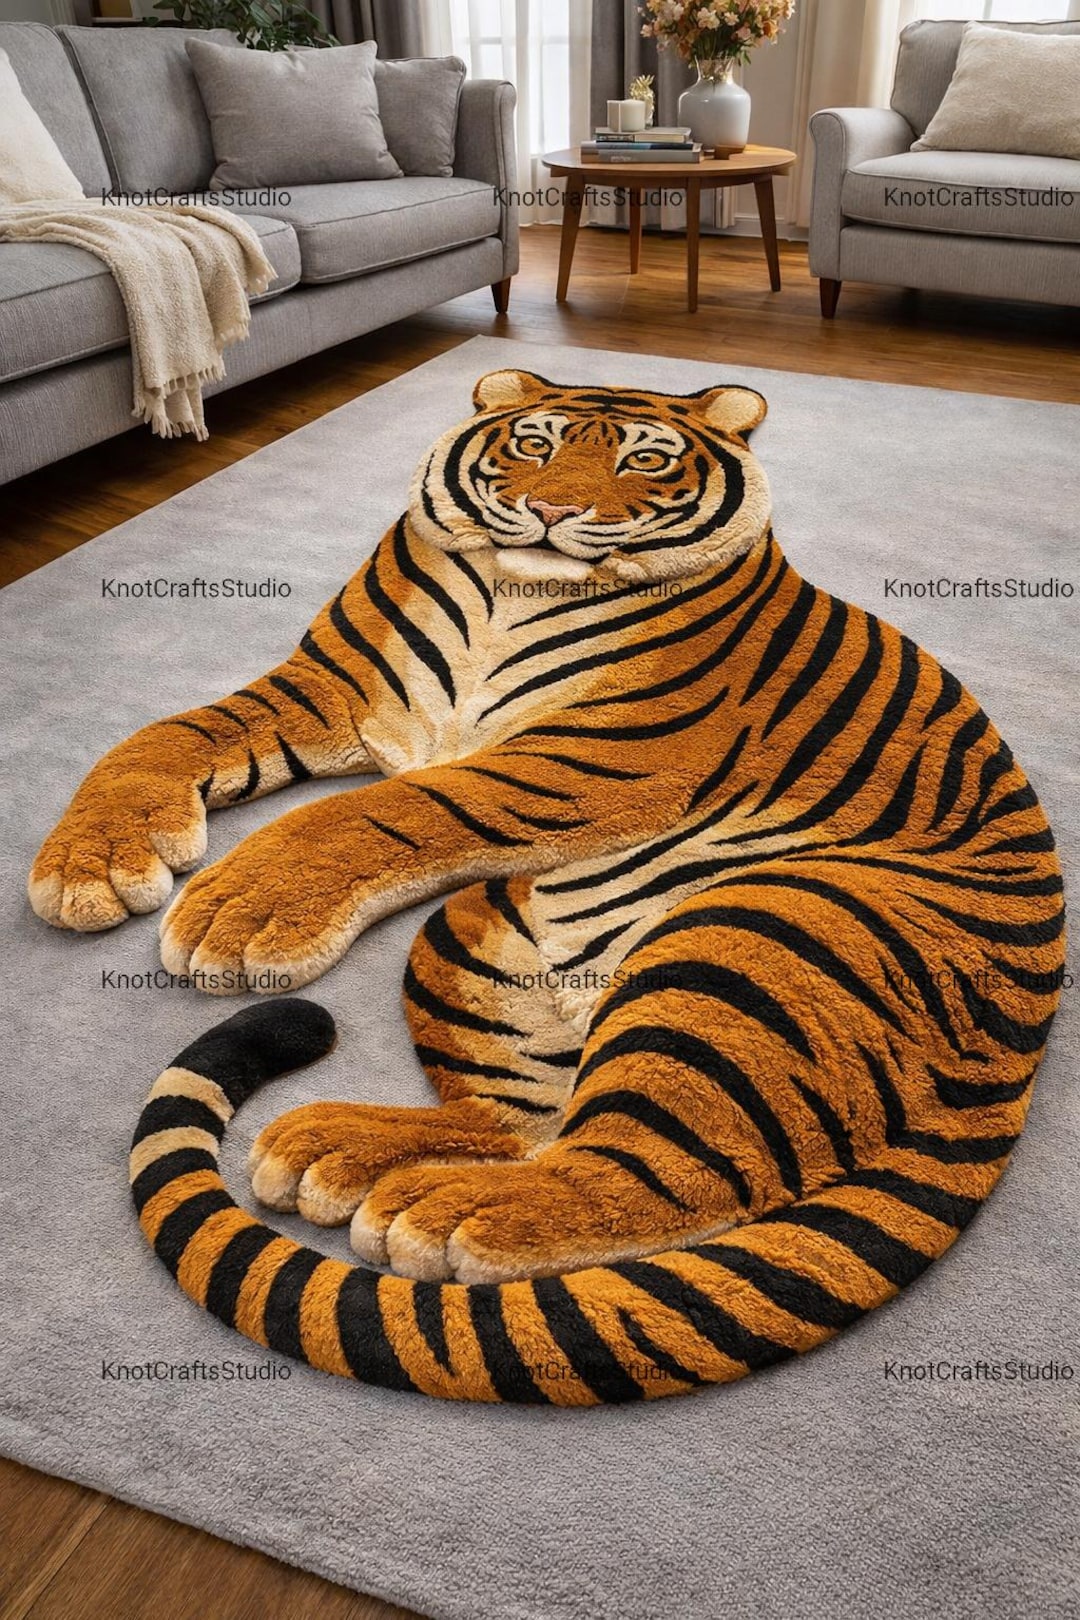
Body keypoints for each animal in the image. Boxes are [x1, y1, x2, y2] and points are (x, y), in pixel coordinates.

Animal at [30, 369, 1064, 1405]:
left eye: (645, 459)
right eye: (534, 443)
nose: (555, 510)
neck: (510, 587)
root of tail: (1016, 1053)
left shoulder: (593, 755)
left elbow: (383, 809)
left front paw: (238, 913)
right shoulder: (326, 690)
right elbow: (165, 736)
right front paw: (87, 866)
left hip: (745, 942)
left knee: (630, 1178)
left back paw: (441, 1211)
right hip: (472, 939)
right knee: (519, 1121)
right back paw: (330, 1151)